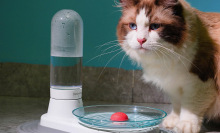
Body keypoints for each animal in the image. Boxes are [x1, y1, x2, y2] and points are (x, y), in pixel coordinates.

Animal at [117, 0, 220, 133]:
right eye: (133, 26)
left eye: (155, 26)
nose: (140, 40)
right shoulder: (173, 84)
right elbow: (177, 105)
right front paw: (172, 121)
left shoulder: (200, 83)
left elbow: (190, 107)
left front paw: (185, 125)